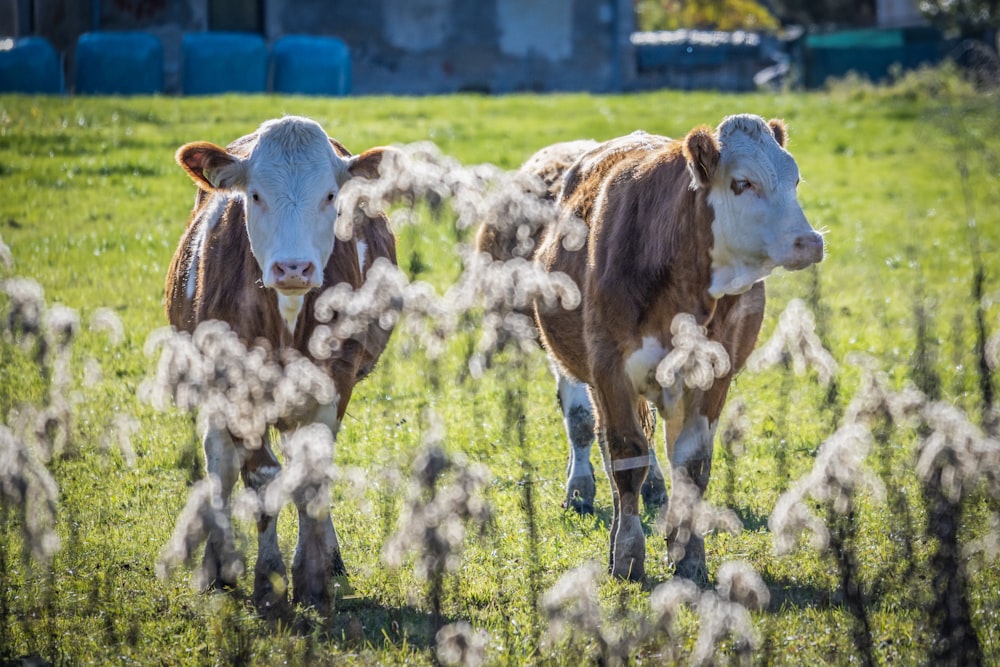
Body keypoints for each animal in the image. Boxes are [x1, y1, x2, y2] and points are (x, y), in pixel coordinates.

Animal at [165, 116, 398, 612]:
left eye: (330, 196)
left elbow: (312, 472)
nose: (293, 269)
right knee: (221, 463)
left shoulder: (336, 380)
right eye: (255, 195)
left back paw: (330, 557)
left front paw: (312, 579)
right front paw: (268, 581)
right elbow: (261, 477)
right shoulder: (234, 384)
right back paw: (216, 565)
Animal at [484, 113, 820, 580]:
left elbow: (691, 465)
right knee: (587, 425)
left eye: (795, 180)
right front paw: (627, 553)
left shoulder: (713, 376)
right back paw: (583, 490)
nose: (810, 242)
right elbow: (626, 455)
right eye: (741, 183)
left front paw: (688, 553)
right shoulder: (609, 370)